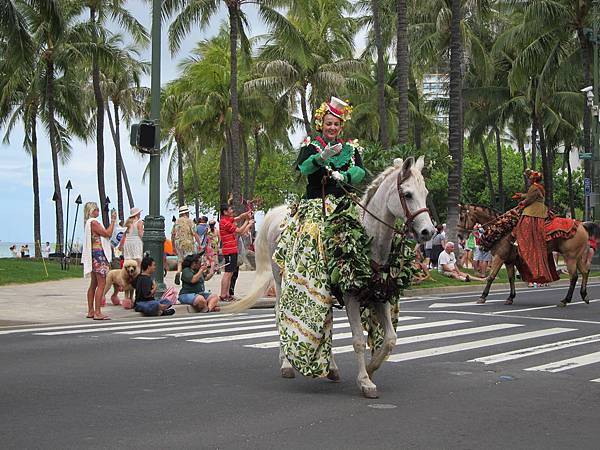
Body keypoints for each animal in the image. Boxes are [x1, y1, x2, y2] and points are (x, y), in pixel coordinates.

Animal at [224, 156, 436, 398]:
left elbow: (390, 339)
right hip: (279, 280)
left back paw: (332, 369)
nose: (429, 232)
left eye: (425, 193)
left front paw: (372, 368)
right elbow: (358, 340)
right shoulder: (352, 297)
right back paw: (286, 364)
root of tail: (277, 213)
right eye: (407, 194)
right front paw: (365, 381)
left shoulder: (380, 293)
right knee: (279, 314)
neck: (367, 241)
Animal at [458, 204, 596, 306]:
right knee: (585, 272)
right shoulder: (509, 261)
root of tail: (582, 225)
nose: (459, 235)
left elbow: (491, 277)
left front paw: (483, 296)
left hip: (570, 257)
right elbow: (511, 278)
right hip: (577, 256)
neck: (500, 230)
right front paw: (510, 297)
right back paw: (584, 295)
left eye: (461, 217)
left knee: (574, 277)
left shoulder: (499, 257)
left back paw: (565, 300)